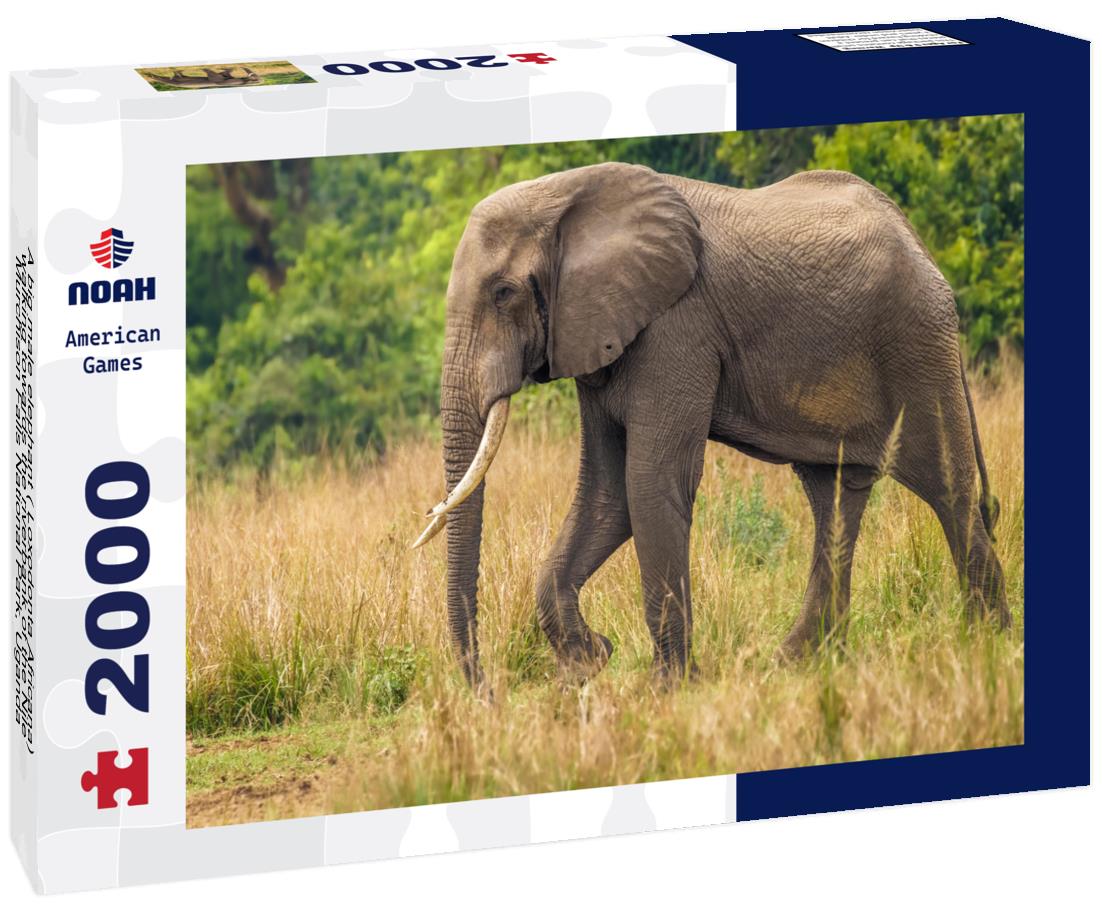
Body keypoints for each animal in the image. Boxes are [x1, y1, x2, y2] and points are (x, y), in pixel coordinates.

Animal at [413, 162, 1011, 692]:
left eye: (503, 293)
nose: (489, 693)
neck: (566, 193)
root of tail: (919, 244)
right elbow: (607, 495)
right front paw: (588, 666)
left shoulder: (677, 327)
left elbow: (649, 484)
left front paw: (666, 689)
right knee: (834, 497)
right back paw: (798, 663)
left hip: (917, 345)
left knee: (948, 488)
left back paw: (986, 644)